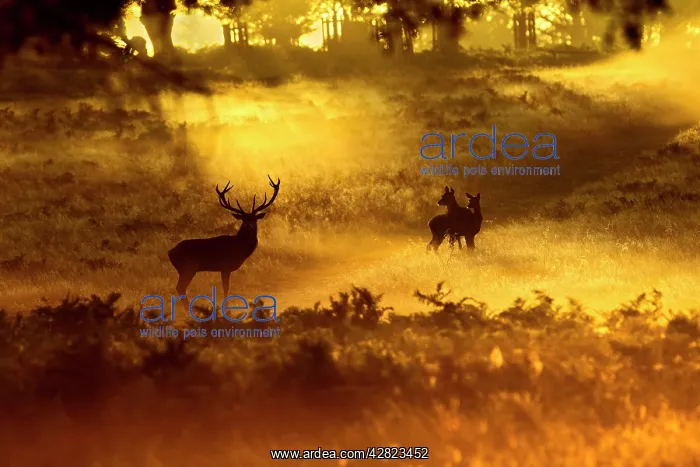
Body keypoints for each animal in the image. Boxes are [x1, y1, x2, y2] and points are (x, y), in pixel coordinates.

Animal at [167, 175, 281, 308]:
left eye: (254, 218)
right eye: (243, 219)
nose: (248, 225)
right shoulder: (225, 266)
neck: (239, 246)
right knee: (180, 287)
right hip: (188, 268)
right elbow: (226, 288)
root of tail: (170, 252)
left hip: (184, 270)